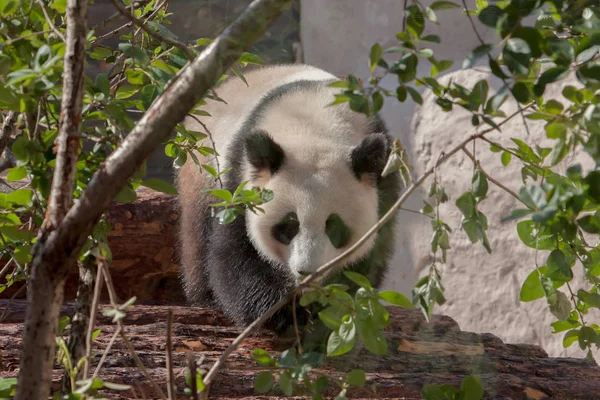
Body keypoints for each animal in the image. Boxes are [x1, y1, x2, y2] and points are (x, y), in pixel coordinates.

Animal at [177, 63, 404, 332]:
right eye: (289, 225)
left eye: (334, 226)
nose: (307, 272)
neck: (315, 125)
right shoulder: (241, 178)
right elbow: (233, 252)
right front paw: (285, 312)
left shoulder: (384, 175)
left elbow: (369, 259)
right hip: (203, 166)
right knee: (197, 233)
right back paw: (203, 297)